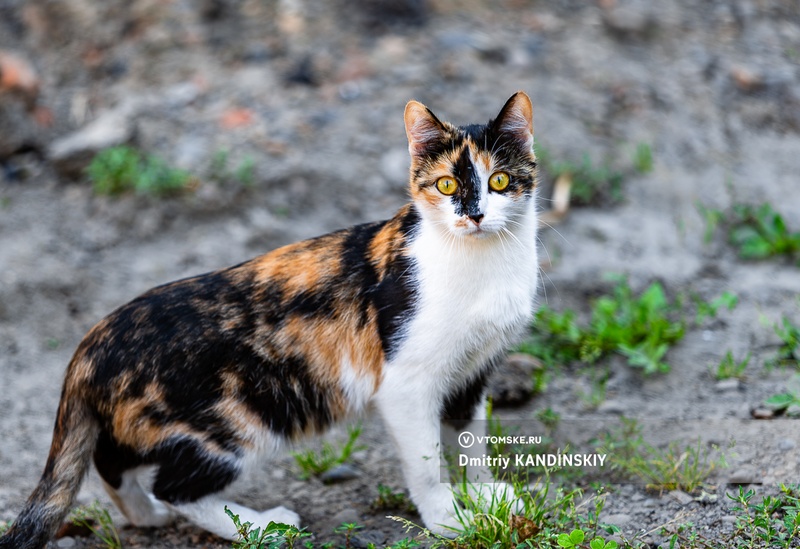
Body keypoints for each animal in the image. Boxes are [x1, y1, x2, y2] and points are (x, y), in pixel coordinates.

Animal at [0, 92, 540, 544]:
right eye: (446, 184)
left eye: (499, 181)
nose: (473, 215)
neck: (481, 263)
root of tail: (95, 339)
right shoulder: (406, 384)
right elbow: (427, 464)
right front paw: (449, 520)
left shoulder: (472, 371)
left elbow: (470, 441)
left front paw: (486, 495)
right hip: (237, 422)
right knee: (176, 487)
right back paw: (260, 526)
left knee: (110, 460)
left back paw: (145, 514)